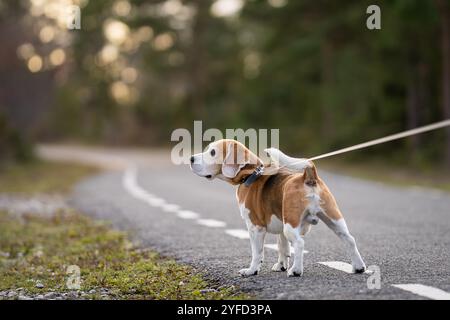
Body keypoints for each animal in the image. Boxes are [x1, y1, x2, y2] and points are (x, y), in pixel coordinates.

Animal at [190, 139, 366, 276]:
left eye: (212, 152)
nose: (191, 158)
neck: (250, 174)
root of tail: (308, 176)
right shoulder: (280, 226)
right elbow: (282, 247)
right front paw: (281, 266)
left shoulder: (255, 227)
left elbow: (257, 252)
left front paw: (252, 270)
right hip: (333, 218)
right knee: (349, 239)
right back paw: (358, 267)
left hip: (291, 224)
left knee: (300, 243)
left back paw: (296, 270)